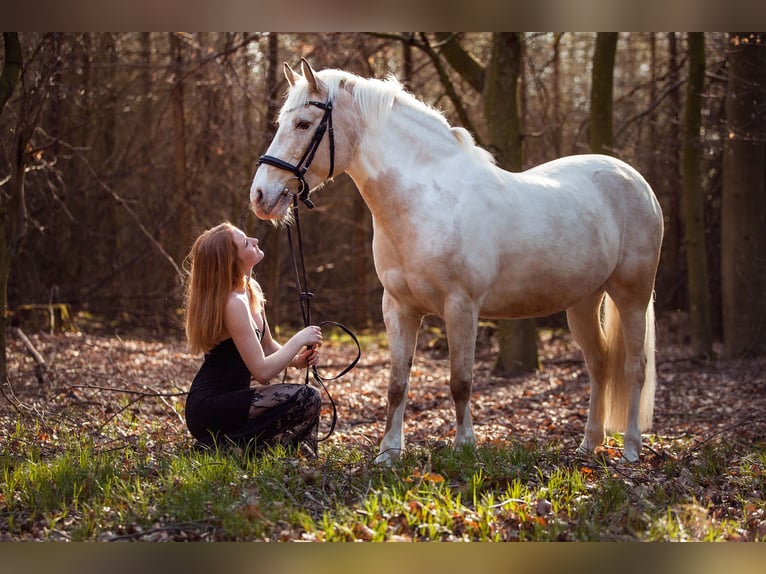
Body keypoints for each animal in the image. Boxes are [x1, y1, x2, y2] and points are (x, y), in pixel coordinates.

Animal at [250, 58, 664, 463]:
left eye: (304, 124)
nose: (260, 195)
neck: (427, 202)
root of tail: (635, 180)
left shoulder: (461, 306)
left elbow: (460, 382)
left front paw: (465, 446)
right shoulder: (398, 308)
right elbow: (397, 384)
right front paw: (388, 453)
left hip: (632, 294)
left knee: (634, 366)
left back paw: (630, 449)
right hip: (583, 301)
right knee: (599, 365)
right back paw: (588, 446)